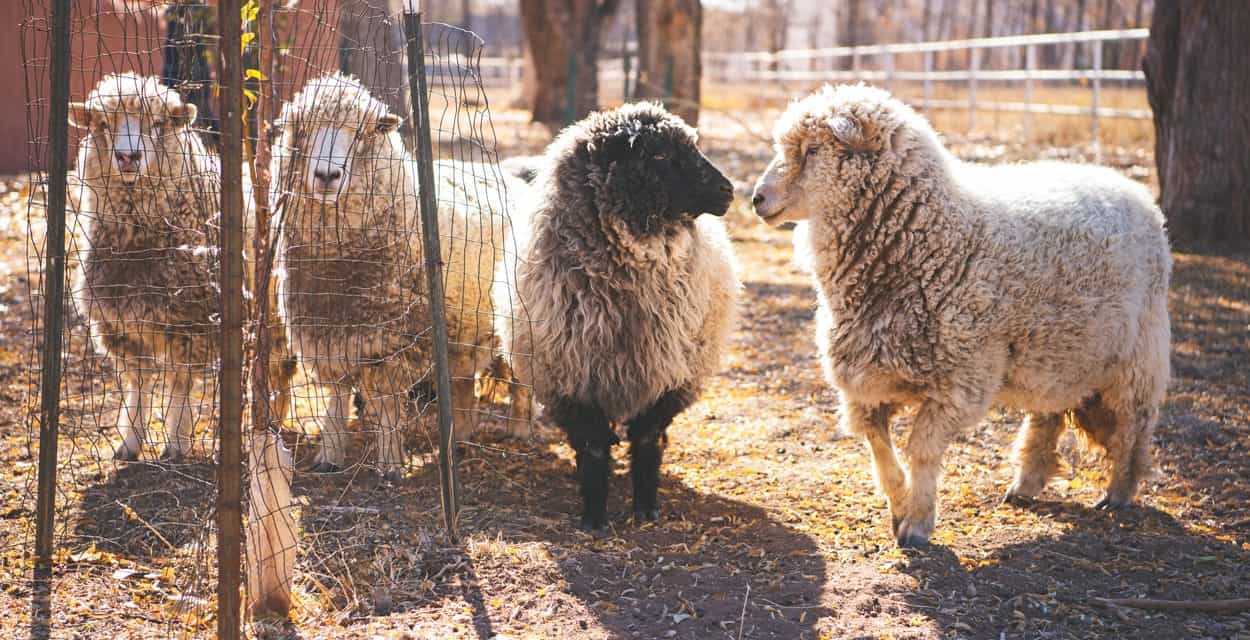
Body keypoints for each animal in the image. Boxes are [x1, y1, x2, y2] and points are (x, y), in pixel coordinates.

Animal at [69, 73, 295, 462]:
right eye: (102, 125)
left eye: (158, 125)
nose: (128, 156)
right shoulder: (118, 325)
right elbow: (139, 385)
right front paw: (130, 442)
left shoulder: (190, 324)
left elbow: (179, 383)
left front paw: (176, 441)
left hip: (274, 308)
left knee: (280, 363)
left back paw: (273, 421)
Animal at [271, 73, 524, 480]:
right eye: (303, 129)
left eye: (364, 132)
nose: (327, 175)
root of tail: (507, 175)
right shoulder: (326, 332)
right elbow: (336, 400)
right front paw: (329, 454)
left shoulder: (395, 341)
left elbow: (387, 404)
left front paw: (389, 463)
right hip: (462, 329)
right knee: (462, 383)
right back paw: (460, 438)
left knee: (520, 380)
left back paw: (521, 428)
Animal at [494, 102, 741, 530]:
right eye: (658, 154)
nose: (728, 191)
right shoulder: (573, 378)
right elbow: (593, 449)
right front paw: (594, 518)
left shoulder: (668, 377)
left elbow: (646, 441)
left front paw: (646, 508)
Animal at [751, 84, 1171, 547]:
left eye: (812, 149)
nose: (756, 199)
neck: (932, 237)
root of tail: (1130, 187)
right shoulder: (867, 382)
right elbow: (880, 450)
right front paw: (898, 506)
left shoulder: (958, 383)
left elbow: (921, 450)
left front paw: (917, 523)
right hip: (1057, 350)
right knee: (1047, 415)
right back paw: (1025, 485)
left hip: (1140, 351)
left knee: (1135, 424)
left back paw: (1119, 492)